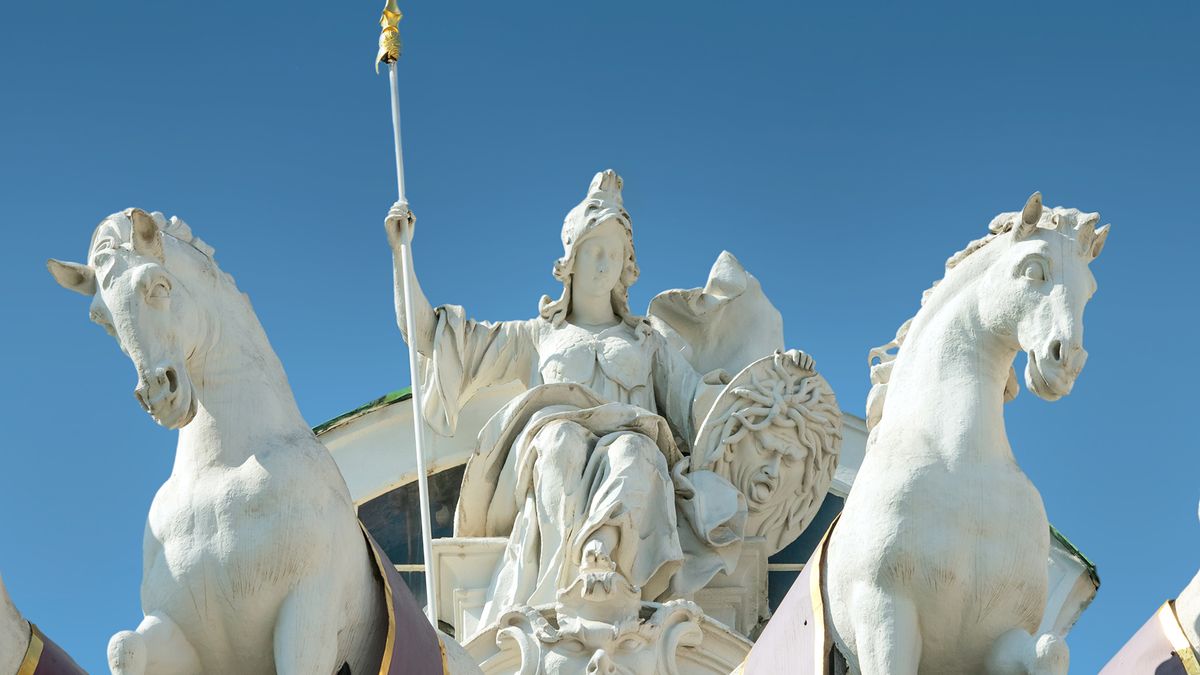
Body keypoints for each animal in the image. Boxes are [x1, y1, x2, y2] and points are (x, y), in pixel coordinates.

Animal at [49, 207, 475, 667]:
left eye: (158, 285)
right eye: (101, 318)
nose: (159, 393)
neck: (221, 467)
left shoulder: (307, 617)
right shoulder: (178, 630)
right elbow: (123, 645)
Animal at [825, 194, 1104, 672]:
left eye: (1089, 290)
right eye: (1034, 269)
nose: (1065, 362)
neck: (960, 461)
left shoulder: (1001, 638)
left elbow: (1052, 649)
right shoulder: (883, 613)